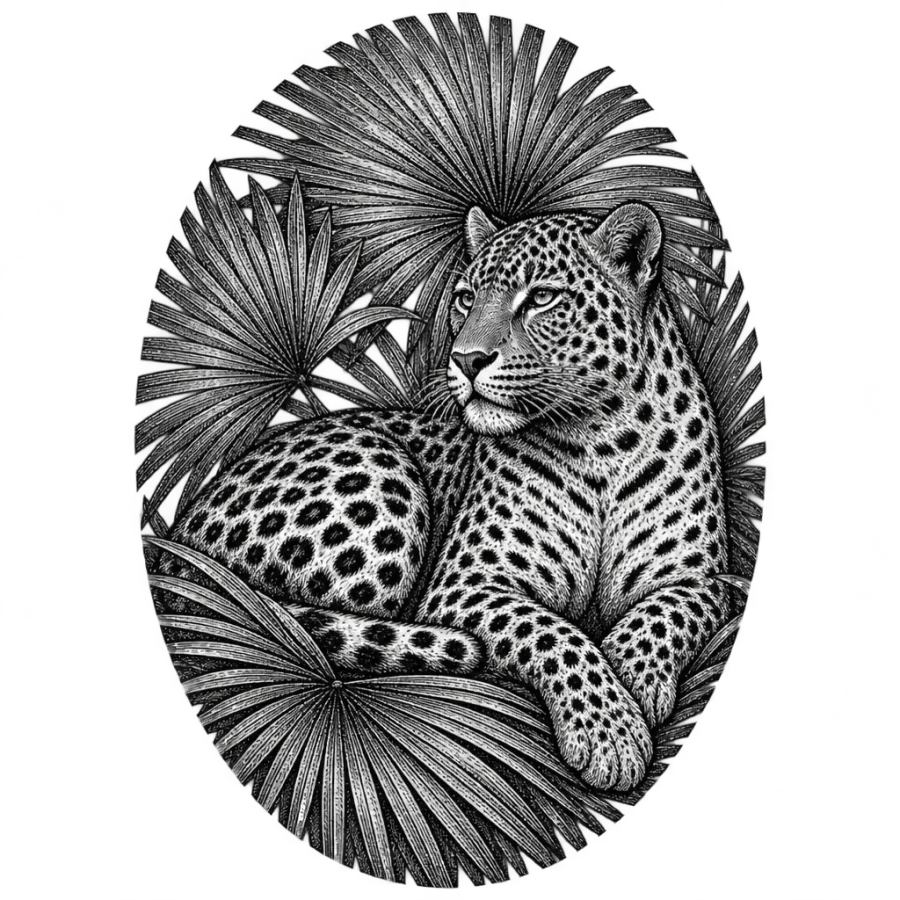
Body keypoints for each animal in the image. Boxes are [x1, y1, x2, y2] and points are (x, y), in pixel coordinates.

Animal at [154, 201, 732, 792]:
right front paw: (609, 730)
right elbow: (552, 630)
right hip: (383, 475)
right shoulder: (463, 586)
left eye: (542, 298)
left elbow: (670, 608)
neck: (601, 443)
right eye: (466, 298)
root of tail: (180, 541)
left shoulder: (706, 576)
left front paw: (633, 675)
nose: (466, 360)